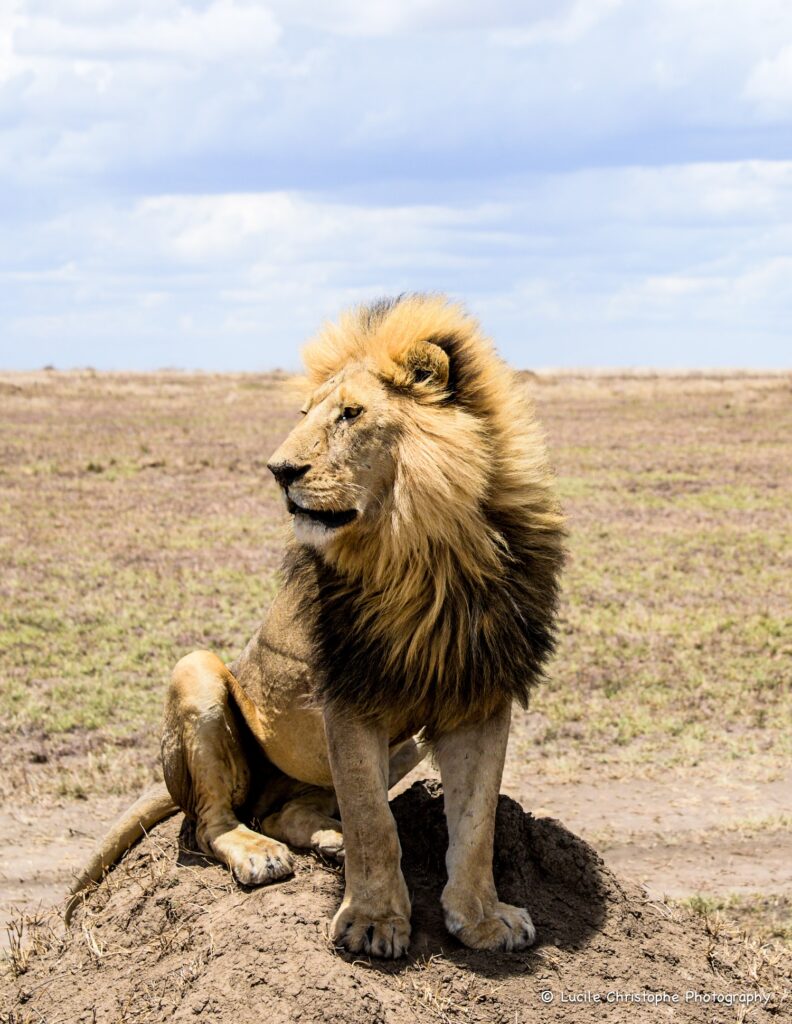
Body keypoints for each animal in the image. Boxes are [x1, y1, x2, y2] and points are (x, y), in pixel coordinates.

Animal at [65, 294, 565, 958]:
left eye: (351, 414)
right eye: (305, 414)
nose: (279, 469)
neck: (428, 552)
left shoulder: (480, 690)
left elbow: (477, 822)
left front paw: (483, 919)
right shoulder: (348, 694)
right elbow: (373, 820)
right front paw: (372, 923)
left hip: (392, 749)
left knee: (286, 811)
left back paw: (326, 840)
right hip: (197, 676)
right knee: (209, 823)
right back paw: (260, 853)